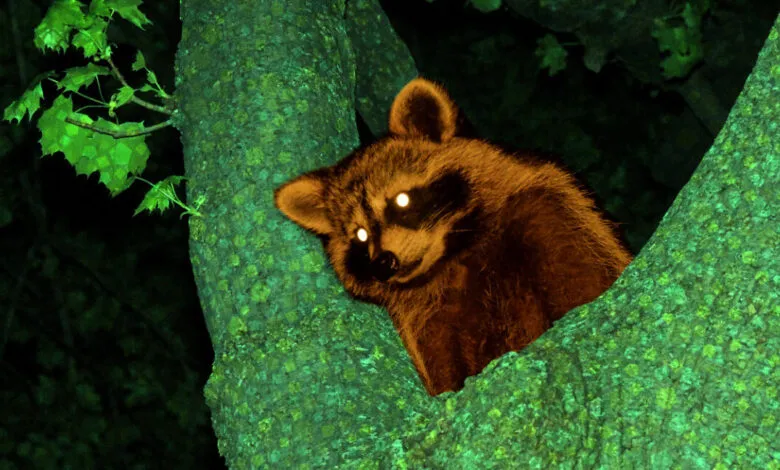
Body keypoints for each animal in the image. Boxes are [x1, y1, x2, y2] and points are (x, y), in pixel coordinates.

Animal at [274, 78, 632, 396]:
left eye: (401, 200)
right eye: (359, 236)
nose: (383, 263)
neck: (453, 253)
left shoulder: (549, 211)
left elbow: (582, 278)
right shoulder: (425, 315)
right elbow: (438, 360)